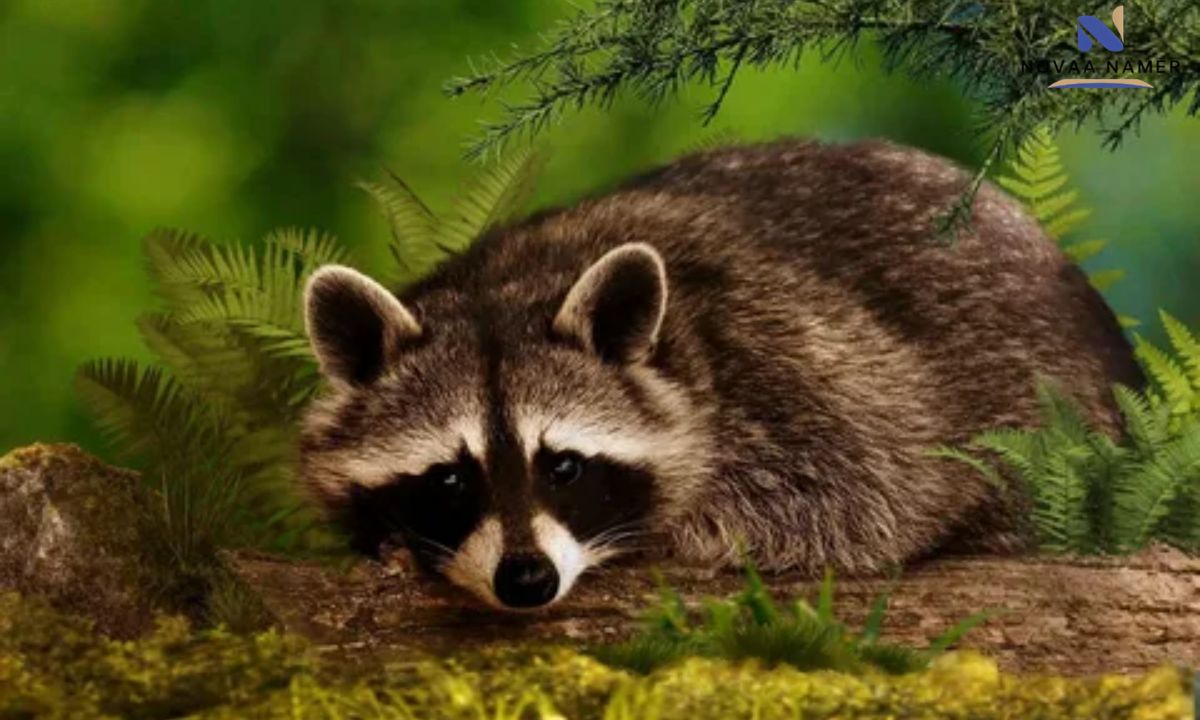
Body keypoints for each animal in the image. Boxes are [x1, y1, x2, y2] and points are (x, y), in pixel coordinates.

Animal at [299, 139, 1141, 610]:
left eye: (563, 466)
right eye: (449, 478)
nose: (527, 581)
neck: (507, 287)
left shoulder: (795, 367)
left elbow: (870, 496)